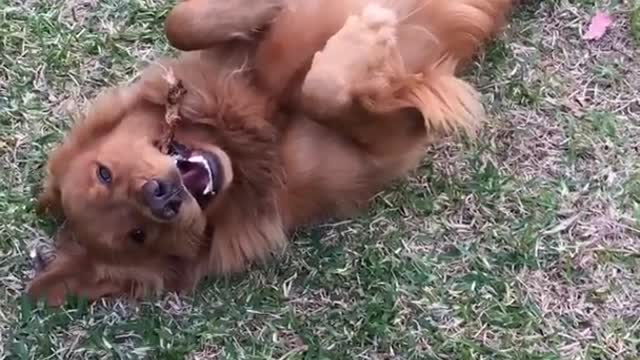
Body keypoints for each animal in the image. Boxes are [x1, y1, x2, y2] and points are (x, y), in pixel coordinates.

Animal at [26, 0, 516, 306]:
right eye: (137, 235)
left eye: (103, 173)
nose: (161, 196)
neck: (252, 132)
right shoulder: (393, 141)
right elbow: (323, 90)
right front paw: (366, 34)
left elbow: (180, 22)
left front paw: (269, 11)